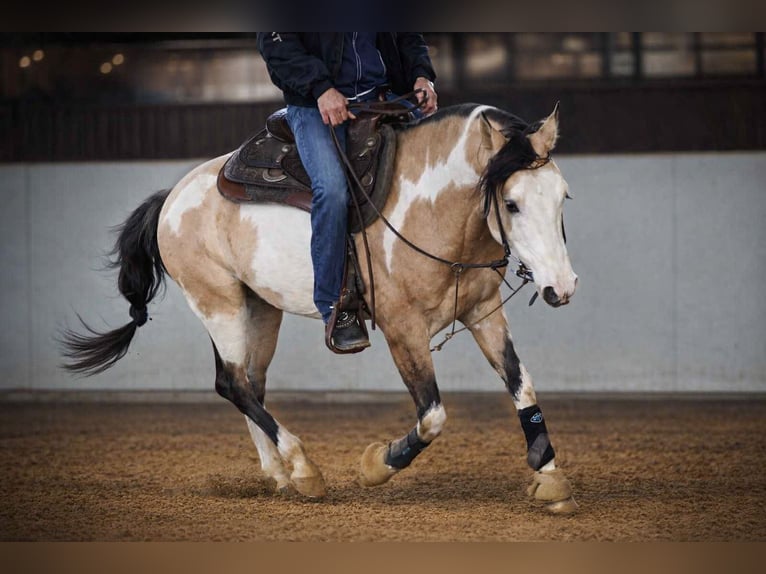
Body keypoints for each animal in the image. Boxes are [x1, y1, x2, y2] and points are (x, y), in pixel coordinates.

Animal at [61, 102, 579, 514]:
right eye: (511, 203)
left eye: (563, 196)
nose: (562, 287)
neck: (428, 210)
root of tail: (171, 198)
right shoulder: (403, 328)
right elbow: (432, 416)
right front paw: (376, 465)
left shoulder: (483, 312)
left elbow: (522, 384)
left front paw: (550, 478)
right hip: (217, 302)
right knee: (233, 383)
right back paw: (304, 467)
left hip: (259, 308)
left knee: (250, 384)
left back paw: (281, 474)